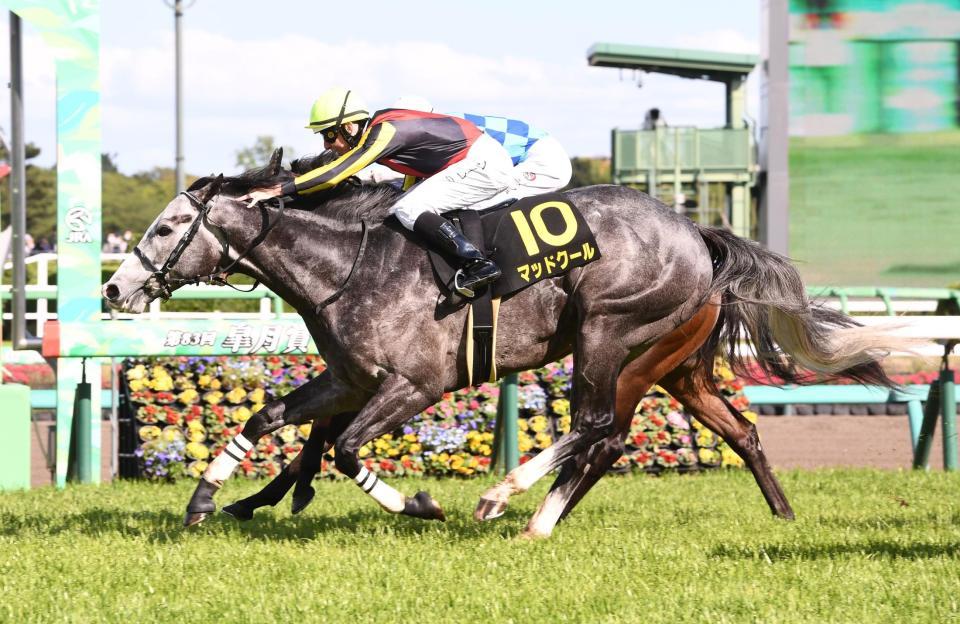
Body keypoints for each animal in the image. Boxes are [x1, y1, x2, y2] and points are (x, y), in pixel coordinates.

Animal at [105, 154, 900, 540]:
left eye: (168, 226)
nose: (115, 289)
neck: (348, 266)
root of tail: (696, 232)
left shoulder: (413, 385)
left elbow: (346, 449)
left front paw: (421, 505)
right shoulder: (350, 379)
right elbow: (267, 419)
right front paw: (207, 500)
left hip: (609, 332)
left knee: (595, 426)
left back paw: (506, 501)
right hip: (668, 364)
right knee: (720, 430)